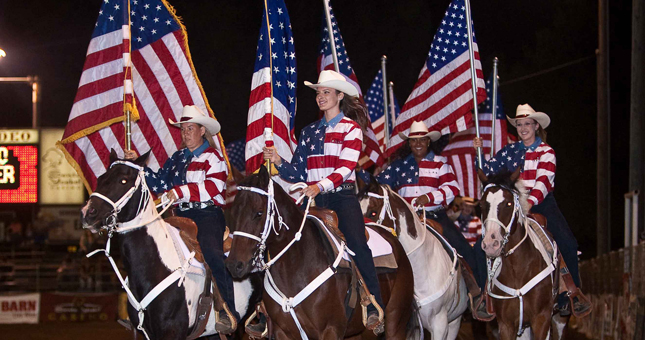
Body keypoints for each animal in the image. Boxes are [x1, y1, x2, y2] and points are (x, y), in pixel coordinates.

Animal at [223, 167, 412, 340]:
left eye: (259, 212)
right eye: (233, 212)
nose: (234, 265)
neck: (296, 267)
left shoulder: (330, 330)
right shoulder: (282, 332)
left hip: (396, 320)